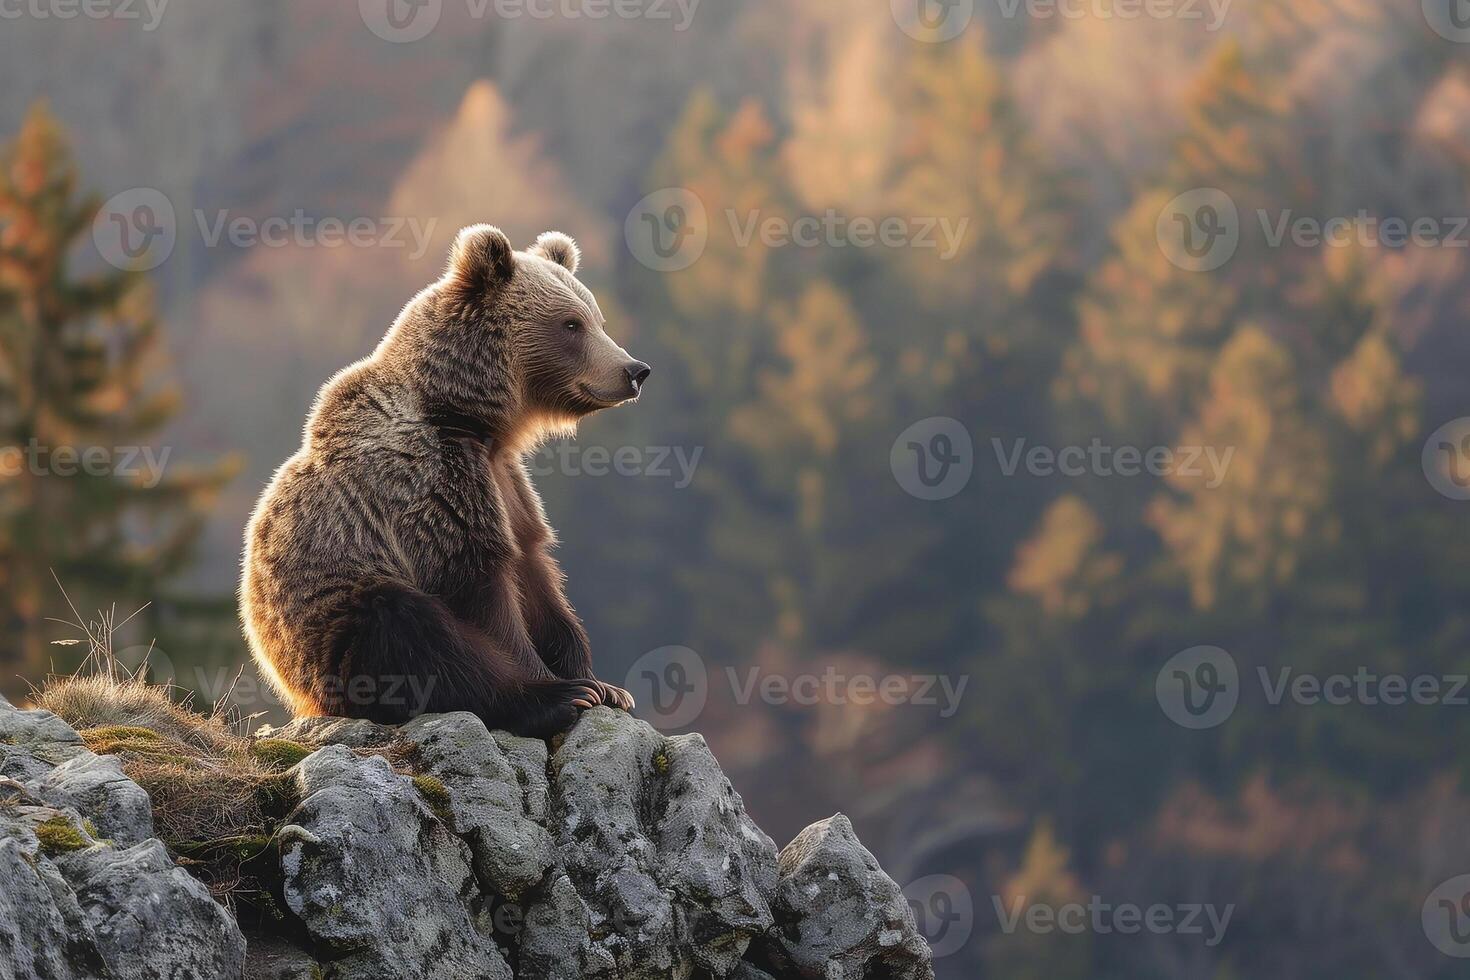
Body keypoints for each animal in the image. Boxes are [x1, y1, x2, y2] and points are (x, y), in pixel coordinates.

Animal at [239, 224, 649, 734]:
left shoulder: (507, 482)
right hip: (334, 621)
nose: (635, 370)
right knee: (411, 634)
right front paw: (563, 688)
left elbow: (536, 572)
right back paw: (541, 700)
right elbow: (480, 588)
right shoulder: (431, 478)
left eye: (598, 319)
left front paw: (603, 685)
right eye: (571, 324)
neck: (472, 418)